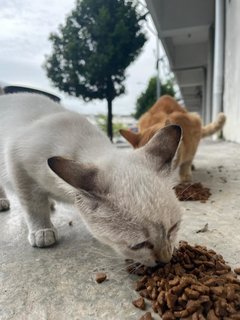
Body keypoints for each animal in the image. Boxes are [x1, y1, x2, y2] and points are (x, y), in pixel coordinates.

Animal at [0, 94, 182, 266]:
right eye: (139, 245)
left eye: (173, 228)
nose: (165, 260)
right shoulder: (18, 164)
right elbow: (33, 206)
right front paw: (42, 231)